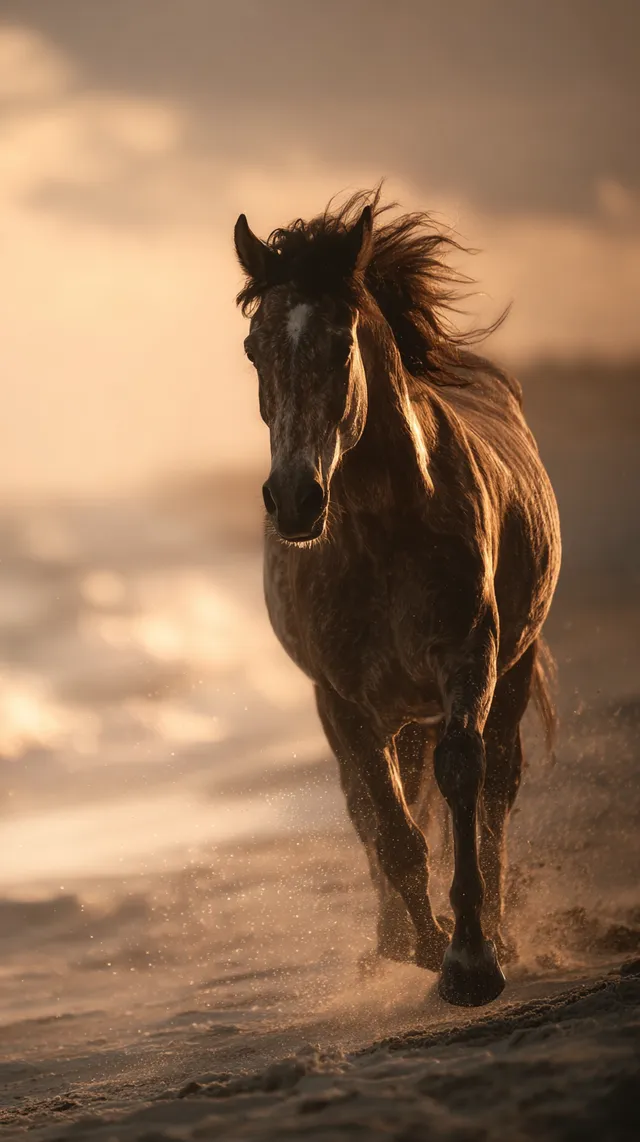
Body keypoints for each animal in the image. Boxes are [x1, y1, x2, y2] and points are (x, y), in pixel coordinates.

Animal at [233, 189, 561, 1007]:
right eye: (254, 348)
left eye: (342, 341)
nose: (294, 501)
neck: (380, 533)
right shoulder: (343, 697)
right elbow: (389, 825)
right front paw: (422, 946)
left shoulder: (470, 659)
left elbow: (462, 779)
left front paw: (471, 959)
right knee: (374, 804)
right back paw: (388, 942)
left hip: (512, 669)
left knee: (496, 787)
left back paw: (498, 930)